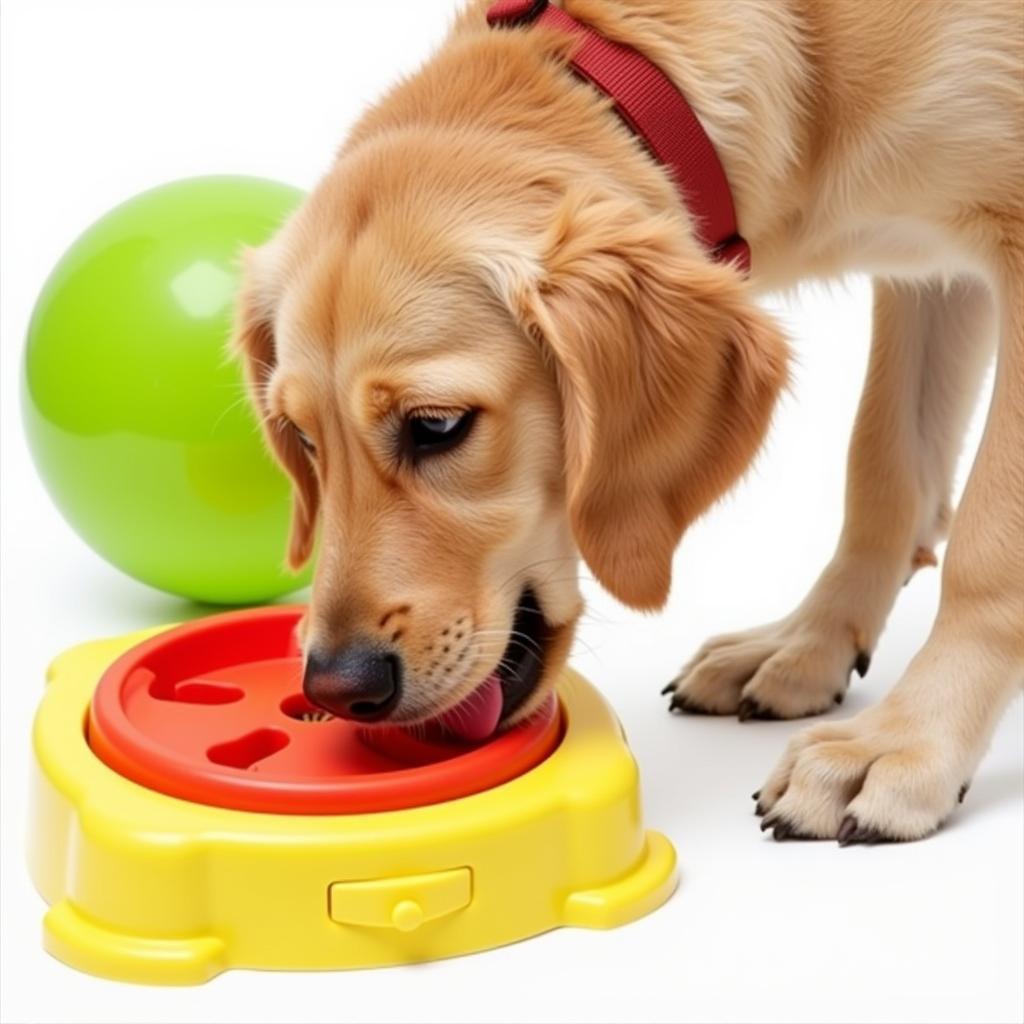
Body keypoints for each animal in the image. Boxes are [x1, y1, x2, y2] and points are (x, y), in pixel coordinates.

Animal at [234, 0, 1024, 843]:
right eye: (303, 439)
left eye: (437, 426)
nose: (334, 688)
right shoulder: (927, 267)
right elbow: (884, 469)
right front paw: (809, 644)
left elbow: (987, 545)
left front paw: (907, 742)